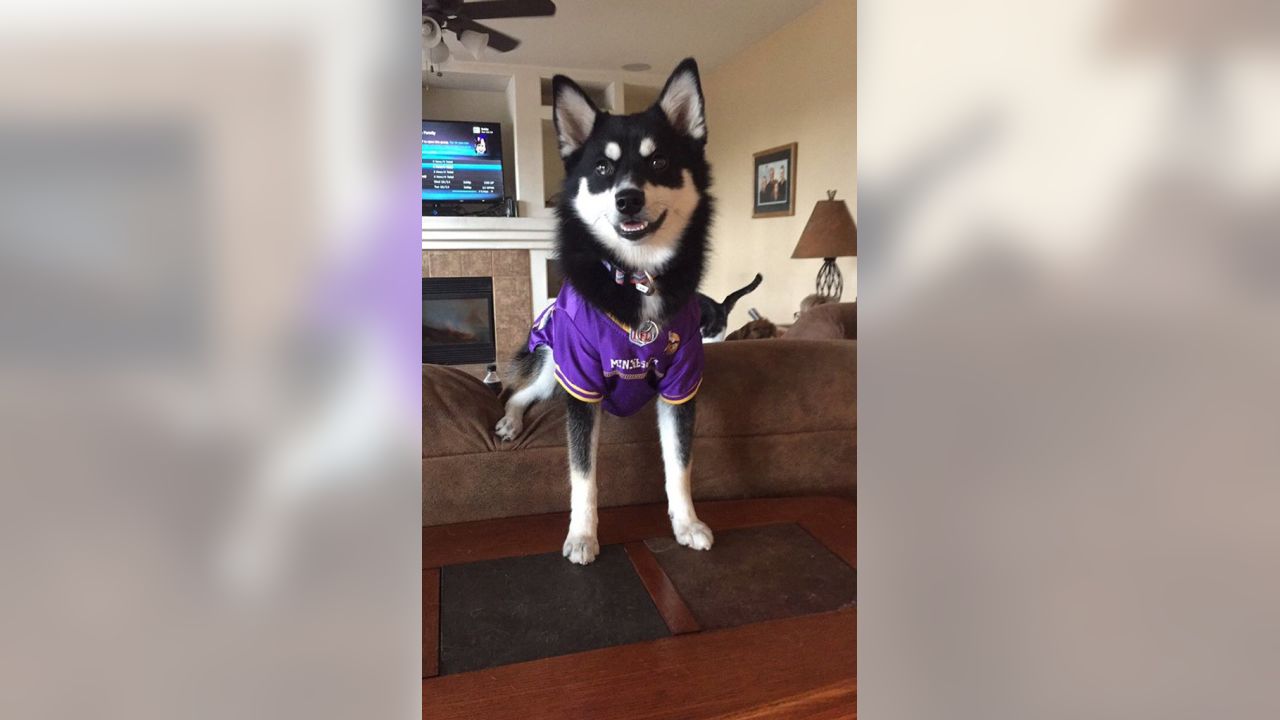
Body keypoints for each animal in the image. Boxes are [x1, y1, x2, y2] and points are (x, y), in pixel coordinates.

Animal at [494, 58, 716, 563]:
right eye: (601, 167)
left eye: (659, 162)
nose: (627, 198)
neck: (638, 275)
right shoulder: (579, 379)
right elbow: (583, 474)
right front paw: (582, 535)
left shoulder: (681, 384)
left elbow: (680, 464)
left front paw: (686, 523)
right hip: (552, 362)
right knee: (518, 393)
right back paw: (510, 422)